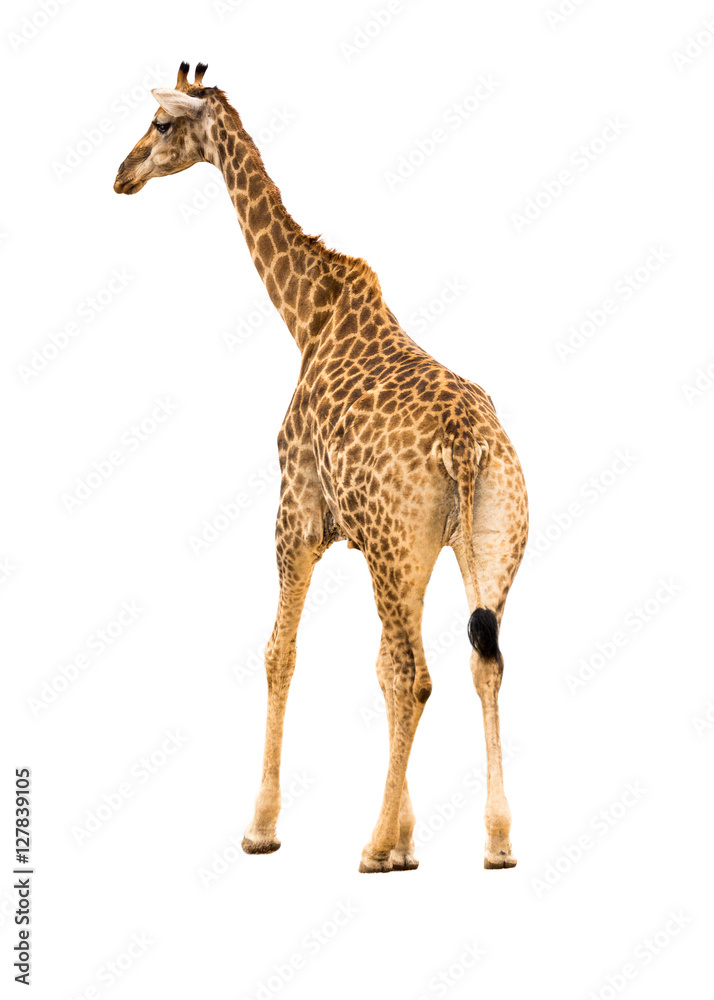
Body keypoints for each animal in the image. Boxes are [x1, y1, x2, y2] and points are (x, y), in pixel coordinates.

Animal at [114, 63, 528, 873]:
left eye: (161, 125)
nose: (122, 176)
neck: (307, 315)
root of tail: (466, 444)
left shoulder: (297, 515)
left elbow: (281, 653)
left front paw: (264, 828)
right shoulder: (383, 544)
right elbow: (372, 666)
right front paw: (410, 841)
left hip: (403, 551)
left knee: (416, 675)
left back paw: (371, 848)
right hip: (485, 543)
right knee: (479, 660)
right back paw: (495, 843)